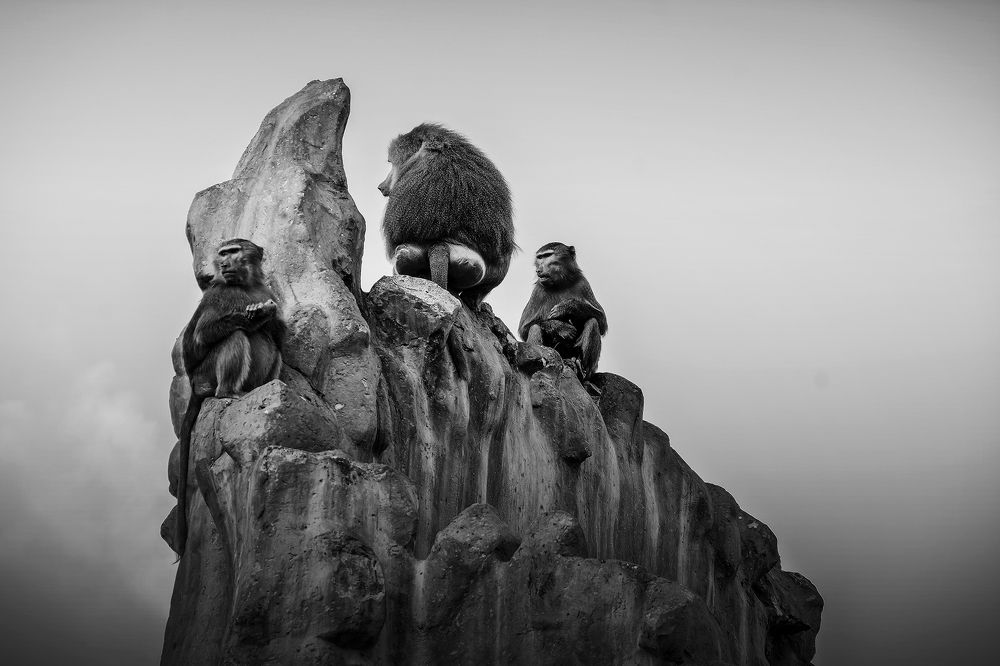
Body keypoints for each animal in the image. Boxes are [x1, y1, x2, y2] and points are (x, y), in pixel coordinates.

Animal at [172, 238, 285, 556]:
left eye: (233, 251)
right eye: (223, 253)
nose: (223, 264)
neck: (245, 284)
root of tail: (195, 385)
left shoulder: (266, 291)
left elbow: (279, 336)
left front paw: (268, 315)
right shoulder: (221, 294)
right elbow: (202, 335)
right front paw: (255, 314)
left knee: (275, 349)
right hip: (206, 374)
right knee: (233, 336)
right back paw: (229, 393)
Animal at [518, 243, 607, 380]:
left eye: (548, 255)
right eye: (540, 257)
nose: (539, 270)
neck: (560, 284)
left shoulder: (583, 283)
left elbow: (602, 321)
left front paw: (569, 307)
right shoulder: (538, 290)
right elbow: (524, 328)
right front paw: (561, 327)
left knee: (593, 321)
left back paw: (581, 368)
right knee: (535, 327)